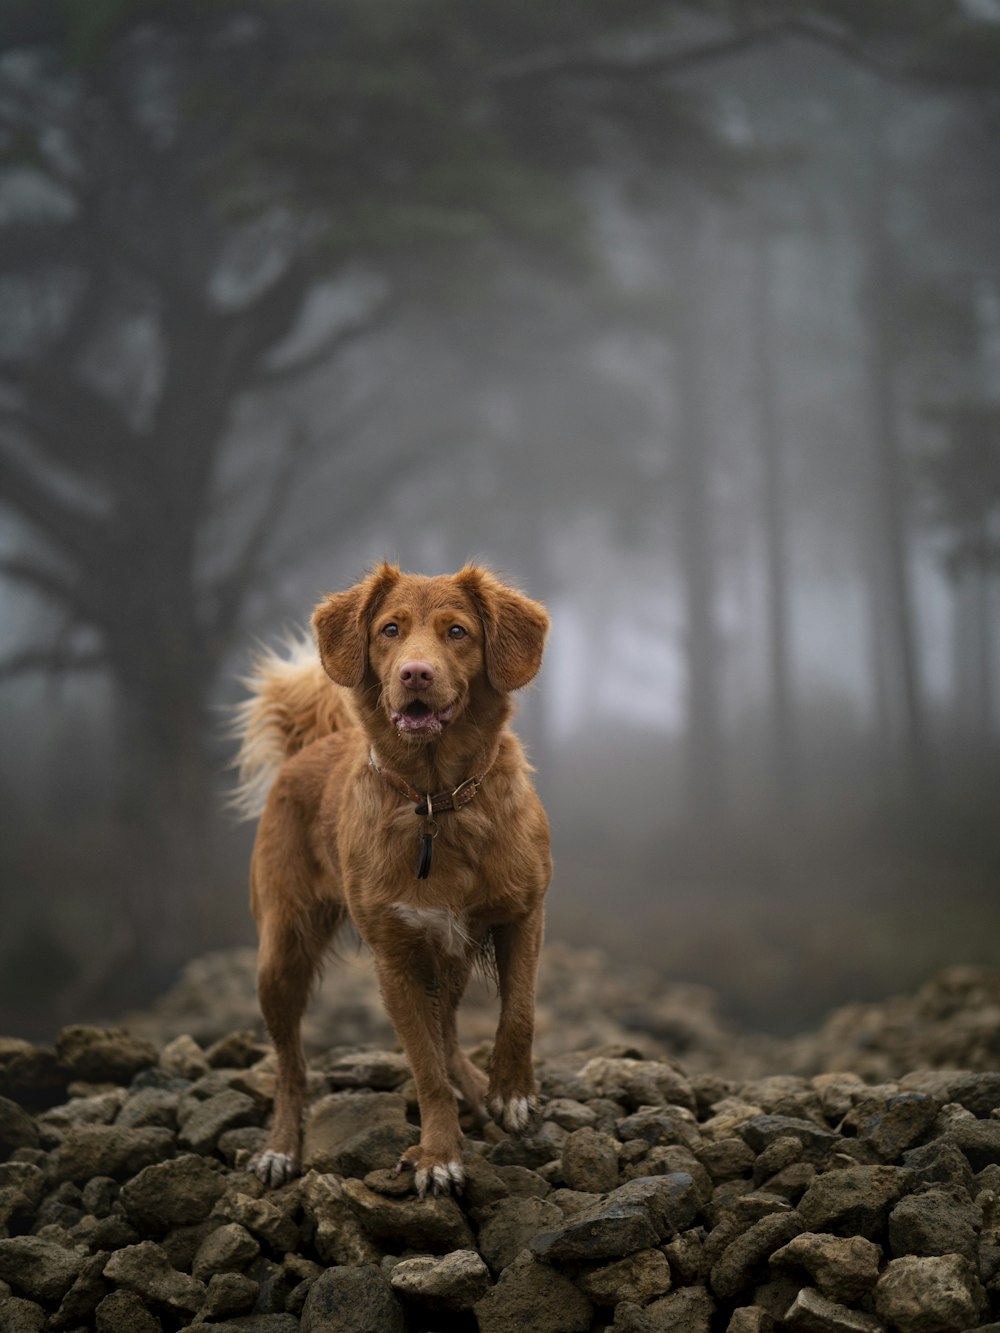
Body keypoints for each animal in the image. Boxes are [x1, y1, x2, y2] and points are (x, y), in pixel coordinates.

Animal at [230, 562, 552, 1199]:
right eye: (390, 630)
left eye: (457, 631)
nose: (415, 673)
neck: (435, 801)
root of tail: (311, 745)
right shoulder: (395, 959)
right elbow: (424, 1067)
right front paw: (439, 1154)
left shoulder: (523, 913)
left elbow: (519, 1012)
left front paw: (510, 1093)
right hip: (281, 955)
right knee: (290, 1068)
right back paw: (280, 1149)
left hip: (448, 960)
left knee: (449, 1035)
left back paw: (478, 1095)